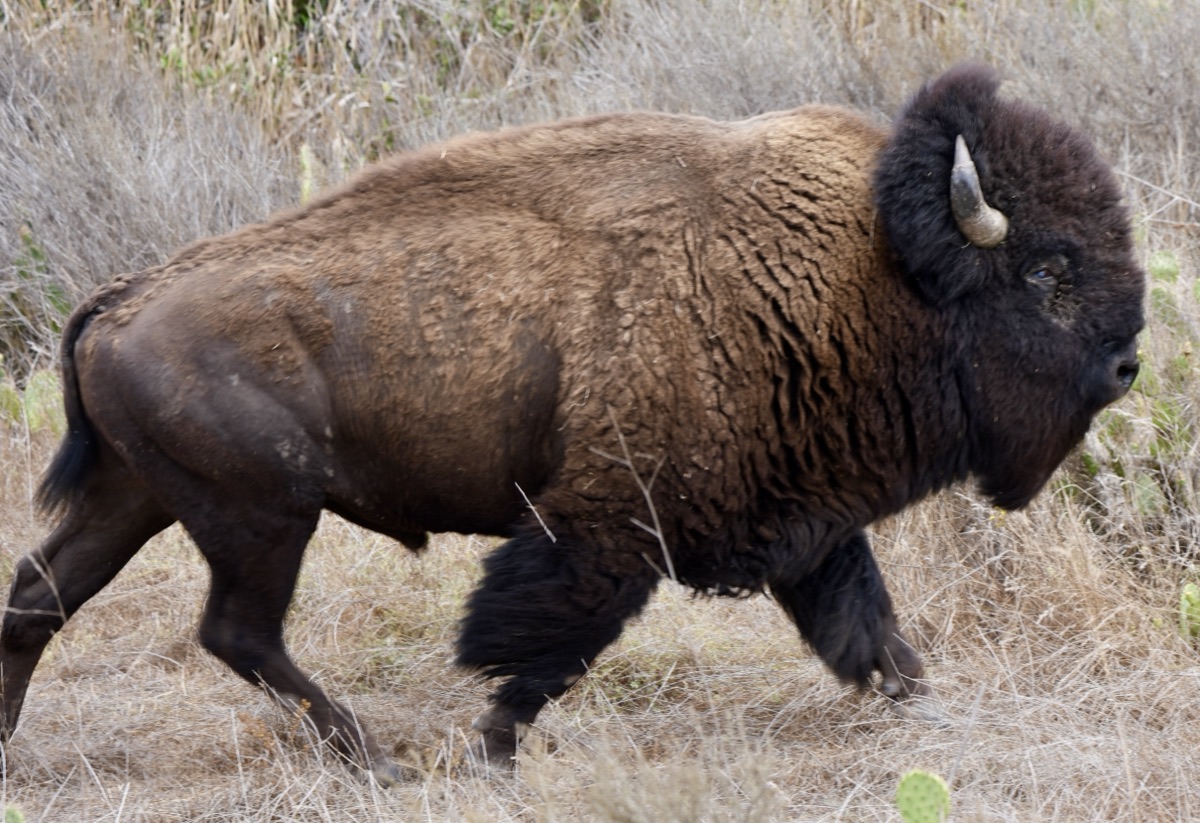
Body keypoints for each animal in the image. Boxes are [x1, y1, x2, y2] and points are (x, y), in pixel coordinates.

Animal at [0, 63, 1143, 782]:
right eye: (1047, 271)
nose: (1128, 363)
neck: (875, 266)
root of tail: (123, 298)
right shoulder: (606, 527)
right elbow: (541, 647)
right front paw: (491, 753)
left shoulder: (810, 526)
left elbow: (872, 636)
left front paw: (933, 712)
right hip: (262, 517)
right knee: (235, 629)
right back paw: (377, 761)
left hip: (141, 498)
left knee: (39, 596)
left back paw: (15, 748)